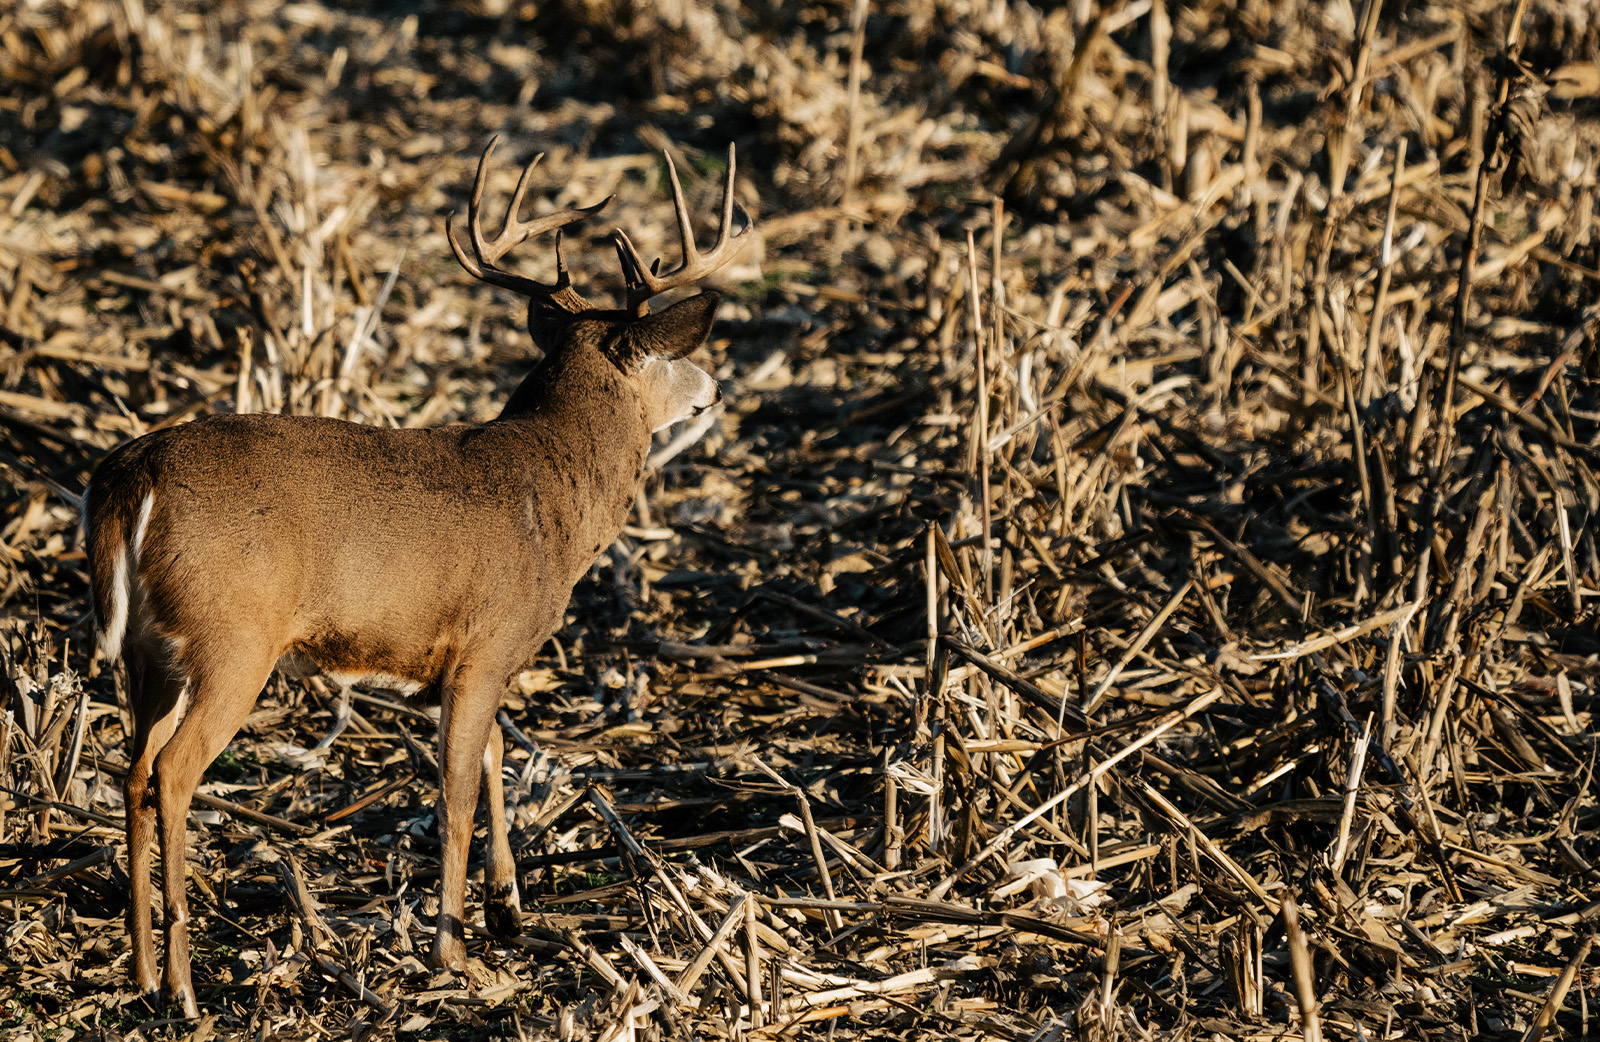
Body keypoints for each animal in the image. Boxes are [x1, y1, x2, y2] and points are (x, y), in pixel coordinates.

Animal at [76, 138, 748, 1017]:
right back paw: (186, 987)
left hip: (148, 651)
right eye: (673, 355)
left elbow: (494, 754)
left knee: (129, 768)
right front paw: (453, 953)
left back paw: (144, 971)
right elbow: (456, 791)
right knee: (174, 771)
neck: (555, 499)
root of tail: (131, 475)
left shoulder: (470, 663)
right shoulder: (486, 644)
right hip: (233, 639)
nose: (715, 388)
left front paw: (507, 908)